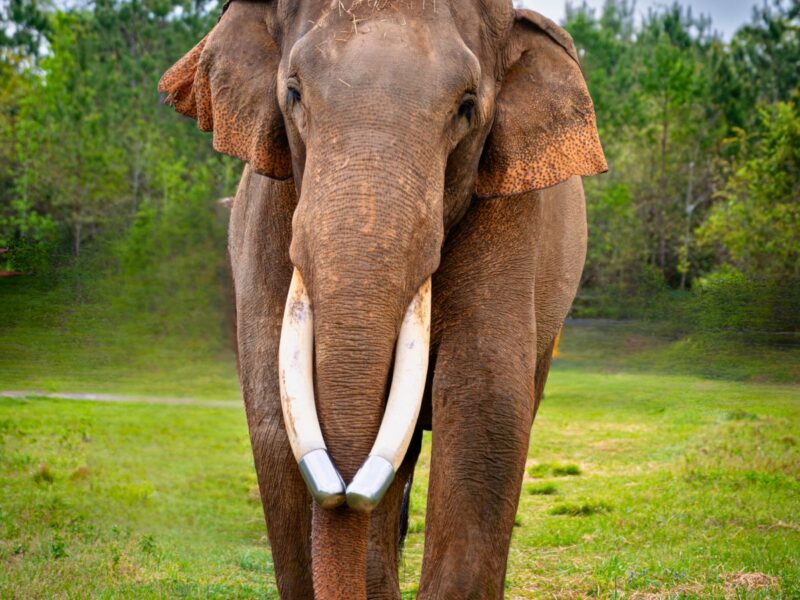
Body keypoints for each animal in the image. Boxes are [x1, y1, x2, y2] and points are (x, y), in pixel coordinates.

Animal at [159, 0, 606, 597]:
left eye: (467, 107)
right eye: (293, 92)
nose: (345, 492)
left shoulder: (516, 219)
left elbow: (484, 408)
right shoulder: (266, 215)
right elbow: (274, 416)